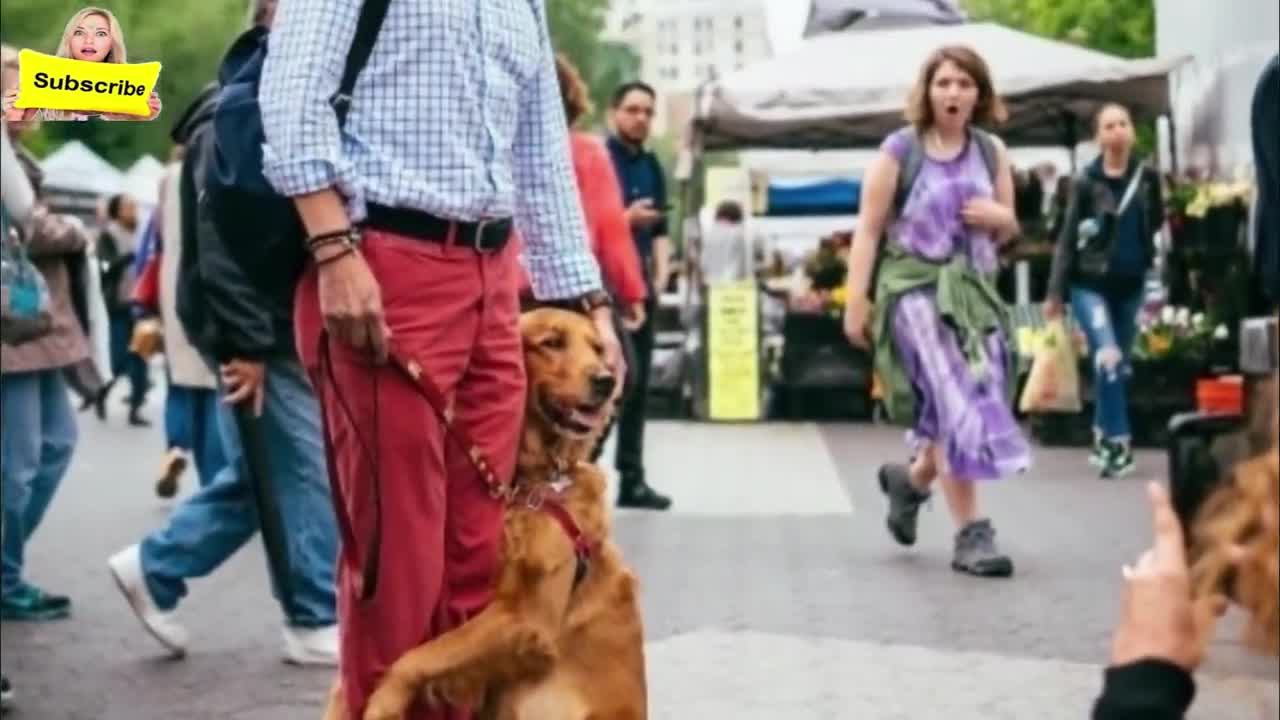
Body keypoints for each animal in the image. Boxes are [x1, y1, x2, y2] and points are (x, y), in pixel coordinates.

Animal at [327, 307, 650, 717]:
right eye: (552, 342)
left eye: (597, 348)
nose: (606, 381)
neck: (538, 481)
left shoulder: (527, 616)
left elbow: (423, 654)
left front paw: (385, 700)